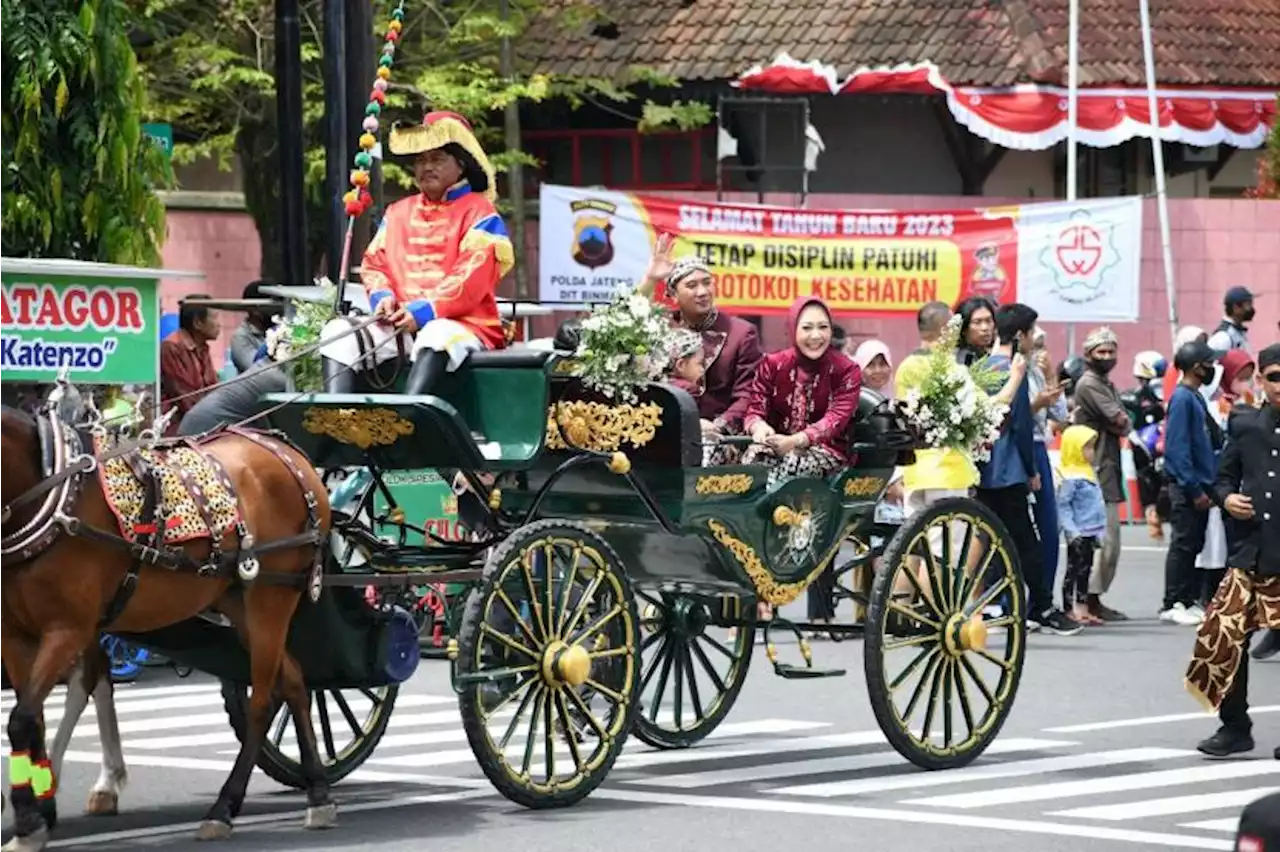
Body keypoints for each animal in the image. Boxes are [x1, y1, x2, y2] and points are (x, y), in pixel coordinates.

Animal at [0, 401, 335, 844]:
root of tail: (288, 453)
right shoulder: (14, 635)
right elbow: (32, 717)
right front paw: (37, 809)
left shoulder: (66, 629)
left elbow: (22, 718)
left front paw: (27, 820)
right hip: (240, 600)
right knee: (295, 682)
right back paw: (318, 792)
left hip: (271, 596)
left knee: (263, 701)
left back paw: (224, 808)